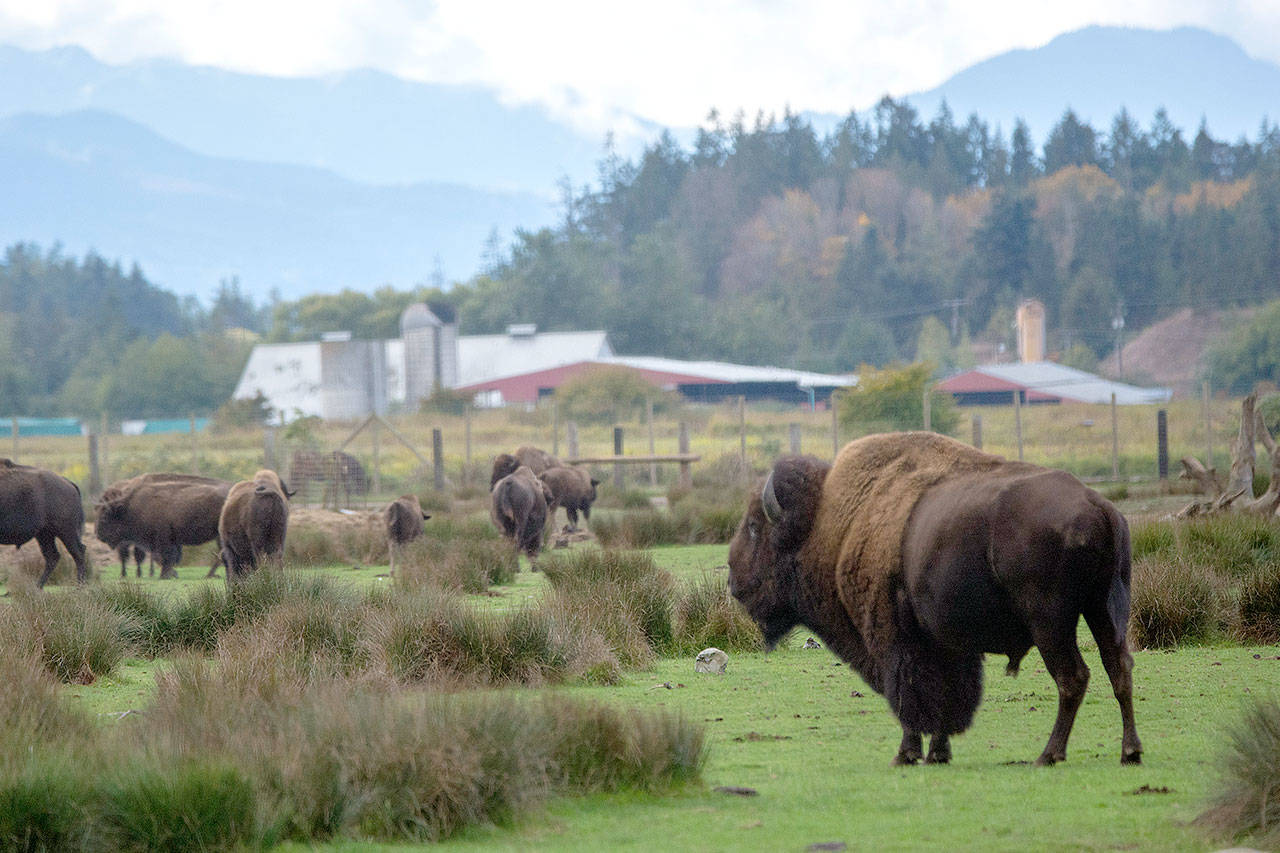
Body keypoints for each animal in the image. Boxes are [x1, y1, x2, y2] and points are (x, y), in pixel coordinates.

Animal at [0, 458, 89, 586]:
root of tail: (68, 483)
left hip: (65, 531)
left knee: (78, 553)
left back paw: (79, 587)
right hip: (44, 534)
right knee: (53, 557)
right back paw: (38, 587)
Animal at [95, 473, 232, 579]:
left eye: (104, 517)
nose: (98, 535)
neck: (130, 508)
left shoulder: (163, 539)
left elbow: (165, 556)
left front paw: (165, 575)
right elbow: (165, 557)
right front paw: (170, 574)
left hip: (220, 536)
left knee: (222, 555)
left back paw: (210, 575)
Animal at [728, 432, 1142, 767]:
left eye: (754, 527)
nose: (733, 580)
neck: (833, 526)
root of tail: (1099, 507)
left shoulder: (894, 639)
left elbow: (909, 694)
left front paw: (906, 754)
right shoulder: (947, 643)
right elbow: (947, 696)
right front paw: (938, 753)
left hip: (1050, 621)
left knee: (1073, 677)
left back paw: (1049, 755)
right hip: (1102, 610)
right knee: (1118, 668)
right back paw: (1130, 752)